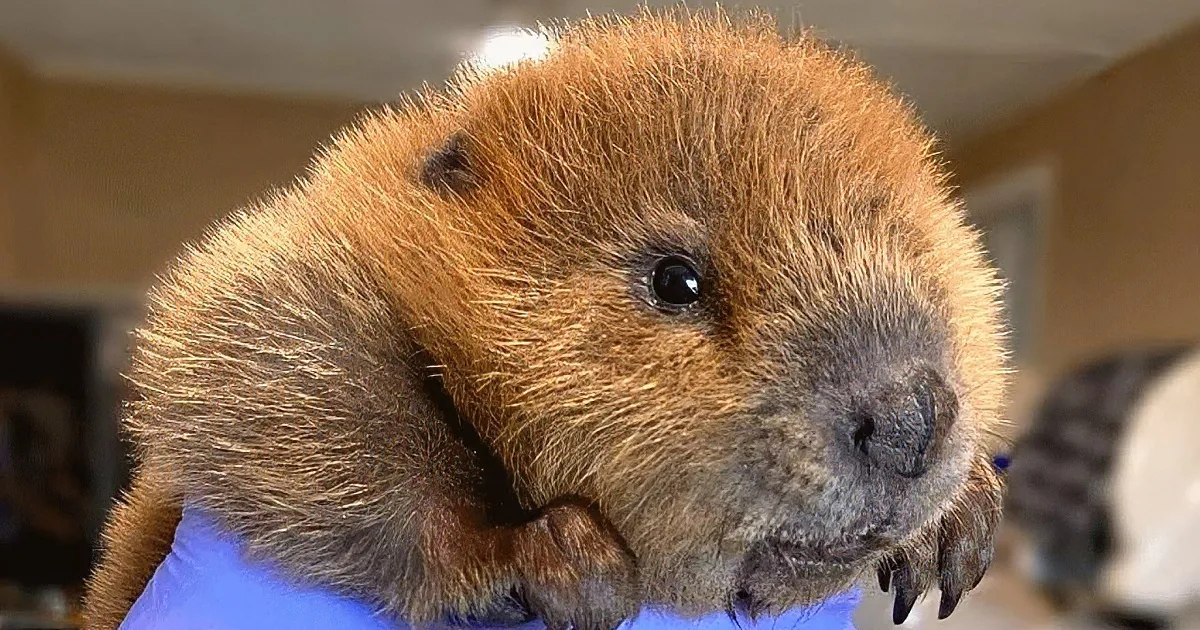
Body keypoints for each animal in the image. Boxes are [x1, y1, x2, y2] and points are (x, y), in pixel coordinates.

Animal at [83, 7, 1008, 630]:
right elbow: (266, 370)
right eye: (677, 279)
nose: (909, 418)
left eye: (918, 249)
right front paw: (556, 558)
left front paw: (957, 529)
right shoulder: (298, 263)